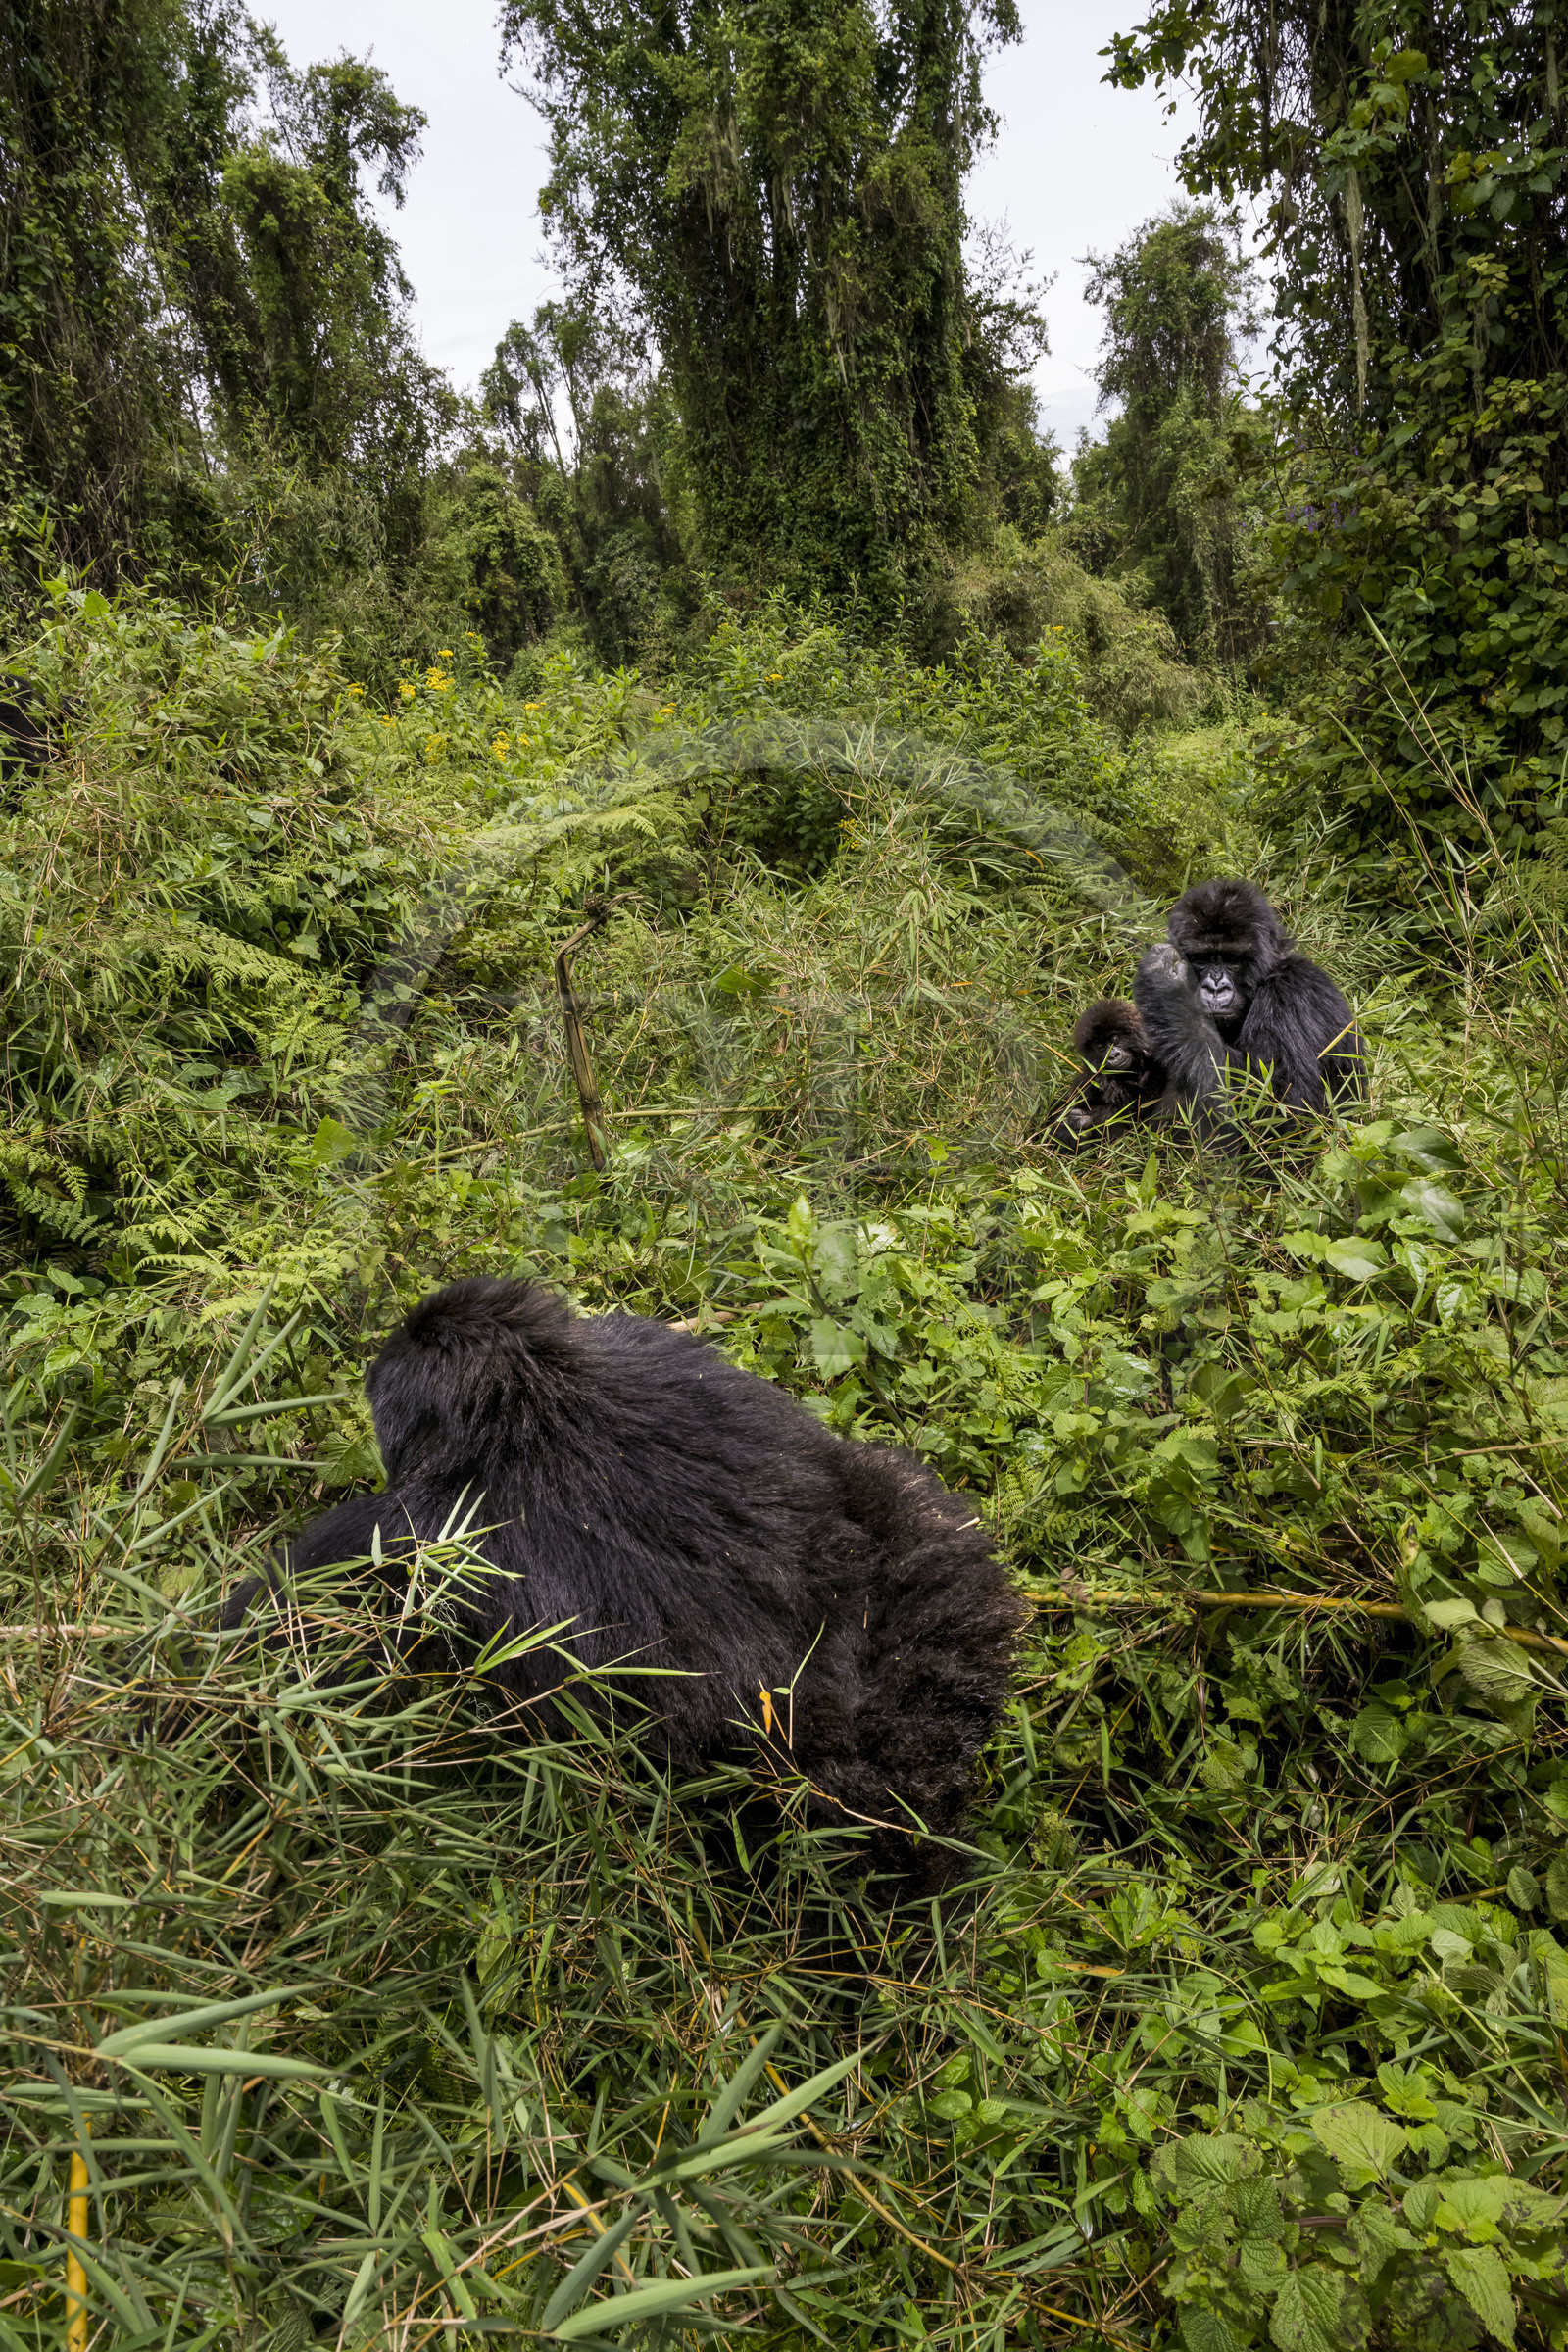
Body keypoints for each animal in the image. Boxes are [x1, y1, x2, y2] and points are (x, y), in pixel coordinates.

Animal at [1133, 878, 1362, 1136]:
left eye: (1232, 960)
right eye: (1201, 959)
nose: (1215, 988)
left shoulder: (1292, 994)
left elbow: (1283, 1107)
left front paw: (1166, 984)